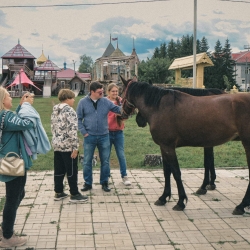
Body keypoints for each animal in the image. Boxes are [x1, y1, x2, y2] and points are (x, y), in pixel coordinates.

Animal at [121, 79, 250, 214]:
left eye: (121, 91)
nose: (139, 120)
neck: (160, 107)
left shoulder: (169, 147)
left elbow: (176, 173)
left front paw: (181, 201)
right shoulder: (164, 147)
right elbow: (166, 172)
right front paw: (163, 197)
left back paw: (241, 206)